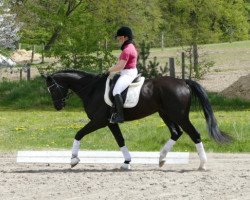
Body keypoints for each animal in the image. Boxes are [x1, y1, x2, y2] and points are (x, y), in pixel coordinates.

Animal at [45, 70, 230, 170]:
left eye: (52, 89)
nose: (58, 106)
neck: (92, 89)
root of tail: (183, 82)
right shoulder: (110, 123)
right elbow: (120, 140)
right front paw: (126, 162)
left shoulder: (99, 121)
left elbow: (79, 134)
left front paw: (73, 160)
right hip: (165, 114)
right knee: (176, 132)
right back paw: (161, 159)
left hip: (179, 115)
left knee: (194, 134)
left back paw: (202, 165)